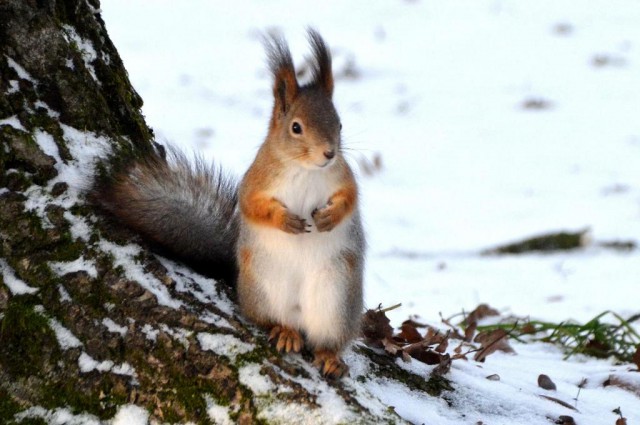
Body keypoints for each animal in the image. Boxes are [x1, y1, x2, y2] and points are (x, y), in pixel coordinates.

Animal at [94, 29, 364, 378]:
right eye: (296, 127)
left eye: (339, 124)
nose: (329, 153)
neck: (306, 169)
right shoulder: (256, 180)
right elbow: (252, 205)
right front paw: (285, 221)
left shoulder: (343, 177)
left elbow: (351, 198)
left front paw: (330, 217)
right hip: (266, 289)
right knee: (271, 320)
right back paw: (285, 332)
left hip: (337, 300)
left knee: (325, 339)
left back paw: (329, 355)